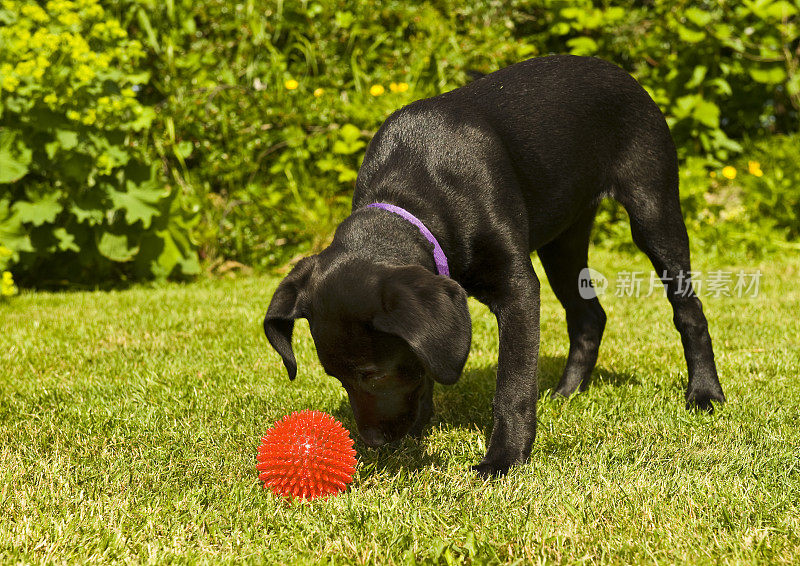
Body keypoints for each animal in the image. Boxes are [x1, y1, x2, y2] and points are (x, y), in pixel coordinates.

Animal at [262, 54, 724, 480]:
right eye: (336, 377)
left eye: (372, 375)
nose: (374, 443)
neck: (415, 191)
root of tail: (617, 70)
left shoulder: (517, 288)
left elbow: (513, 385)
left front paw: (505, 458)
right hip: (563, 241)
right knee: (589, 315)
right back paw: (567, 392)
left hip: (653, 210)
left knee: (689, 311)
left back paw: (704, 394)